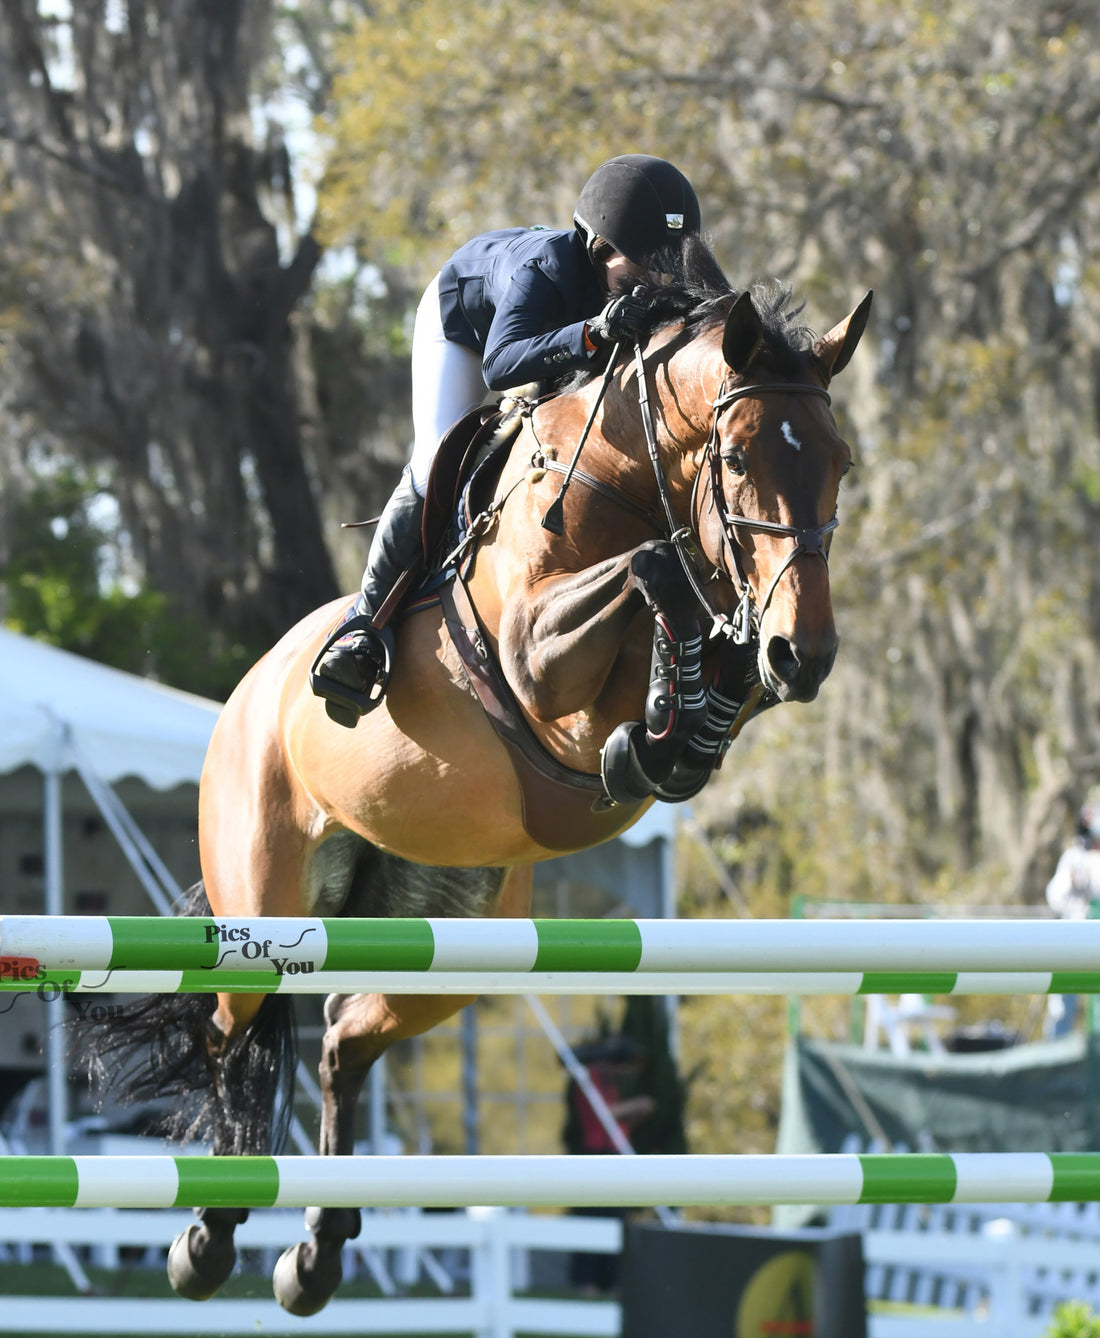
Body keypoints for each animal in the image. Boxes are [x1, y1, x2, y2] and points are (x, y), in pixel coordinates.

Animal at [90, 276, 872, 1311]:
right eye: (739, 457)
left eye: (841, 463)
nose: (809, 654)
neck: (626, 478)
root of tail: (245, 694)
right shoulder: (538, 659)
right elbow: (652, 570)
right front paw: (656, 728)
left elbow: (714, 647)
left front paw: (676, 731)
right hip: (262, 896)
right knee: (232, 1033)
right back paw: (208, 1239)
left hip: (448, 939)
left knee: (342, 1043)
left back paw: (316, 1255)